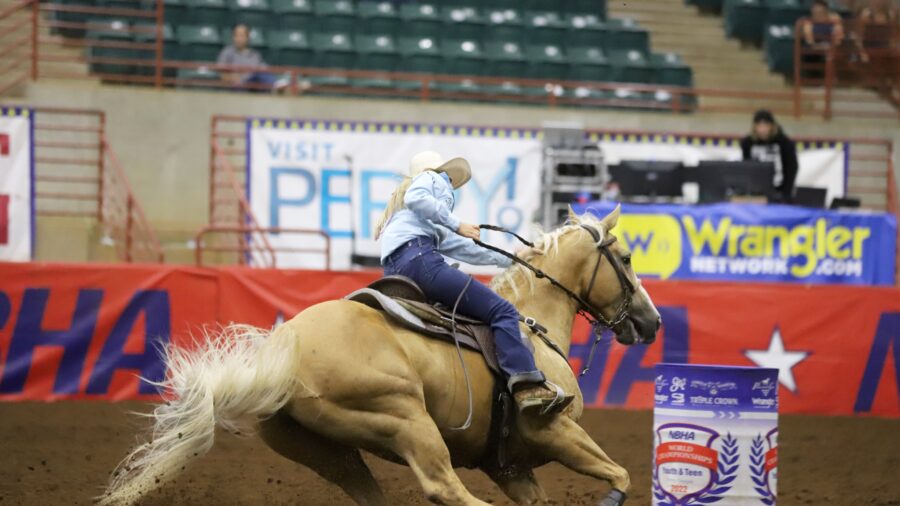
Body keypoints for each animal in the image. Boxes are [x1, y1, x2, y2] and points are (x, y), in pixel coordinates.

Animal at [99, 205, 661, 506]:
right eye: (627, 257)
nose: (652, 322)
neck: (529, 321)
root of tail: (284, 354)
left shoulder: (512, 468)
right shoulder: (556, 431)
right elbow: (620, 475)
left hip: (330, 452)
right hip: (407, 422)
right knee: (444, 487)